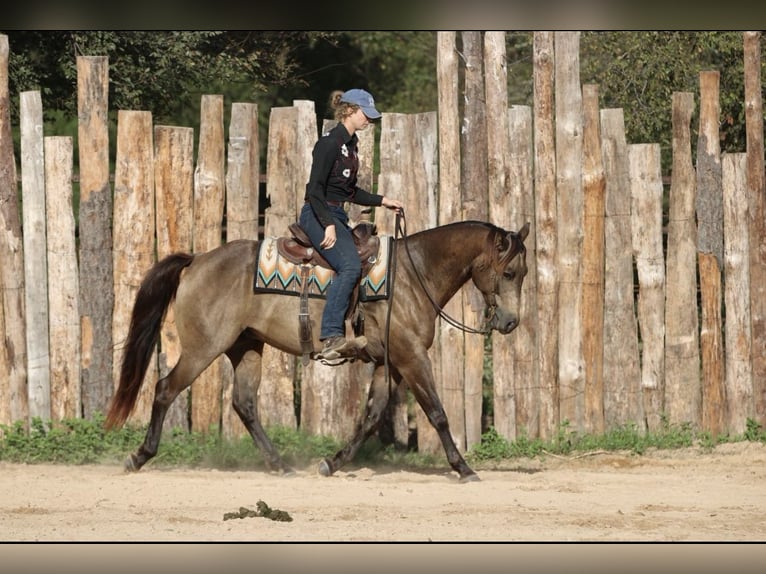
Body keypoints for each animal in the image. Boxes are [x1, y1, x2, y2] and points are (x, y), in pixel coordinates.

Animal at [104, 218, 530, 483]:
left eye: (523, 273)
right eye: (509, 272)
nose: (510, 322)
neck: (413, 275)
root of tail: (196, 261)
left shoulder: (388, 363)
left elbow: (371, 416)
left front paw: (332, 463)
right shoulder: (411, 358)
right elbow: (437, 413)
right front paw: (464, 468)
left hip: (246, 347)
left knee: (244, 403)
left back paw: (279, 464)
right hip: (202, 348)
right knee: (165, 389)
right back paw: (139, 456)